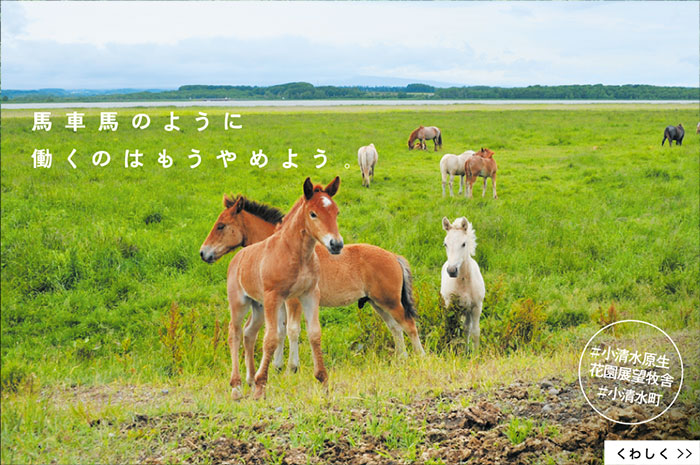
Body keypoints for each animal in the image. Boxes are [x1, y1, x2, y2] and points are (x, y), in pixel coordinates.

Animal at [200, 193, 424, 374]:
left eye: (221, 225)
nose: (203, 253)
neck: (283, 248)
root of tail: (394, 257)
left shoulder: (294, 301)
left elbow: (292, 330)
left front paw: (292, 368)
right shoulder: (279, 301)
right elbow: (280, 331)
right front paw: (277, 366)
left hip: (390, 302)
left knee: (409, 325)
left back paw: (420, 358)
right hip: (377, 303)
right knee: (395, 328)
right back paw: (402, 359)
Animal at [219, 178, 340, 398]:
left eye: (336, 212)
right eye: (313, 214)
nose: (336, 244)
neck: (296, 253)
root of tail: (238, 256)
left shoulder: (310, 294)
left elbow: (314, 333)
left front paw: (324, 381)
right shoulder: (274, 297)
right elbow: (272, 337)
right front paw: (261, 386)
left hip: (257, 306)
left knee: (249, 332)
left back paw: (249, 379)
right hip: (239, 302)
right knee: (235, 333)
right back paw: (237, 385)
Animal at [440, 217, 484, 348]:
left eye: (464, 244)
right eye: (445, 244)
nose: (452, 270)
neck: (464, 284)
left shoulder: (476, 307)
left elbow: (475, 332)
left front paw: (476, 353)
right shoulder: (451, 306)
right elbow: (450, 326)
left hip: (467, 310)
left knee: (467, 329)